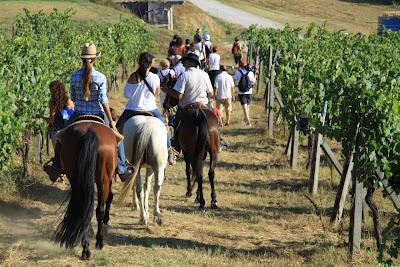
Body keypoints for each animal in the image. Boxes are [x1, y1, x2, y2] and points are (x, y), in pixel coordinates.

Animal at [54, 121, 118, 260]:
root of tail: (90, 131)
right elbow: (107, 200)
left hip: (75, 177)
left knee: (82, 208)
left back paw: (85, 248)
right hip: (103, 180)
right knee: (98, 210)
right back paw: (98, 242)